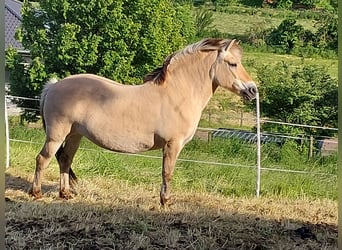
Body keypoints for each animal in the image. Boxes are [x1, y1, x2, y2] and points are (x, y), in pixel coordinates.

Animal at [31, 37, 256, 205]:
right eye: (233, 64)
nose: (253, 90)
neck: (177, 94)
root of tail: (53, 85)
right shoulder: (173, 145)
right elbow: (167, 173)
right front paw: (165, 202)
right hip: (56, 135)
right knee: (43, 159)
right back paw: (36, 193)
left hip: (75, 135)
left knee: (65, 159)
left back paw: (65, 194)